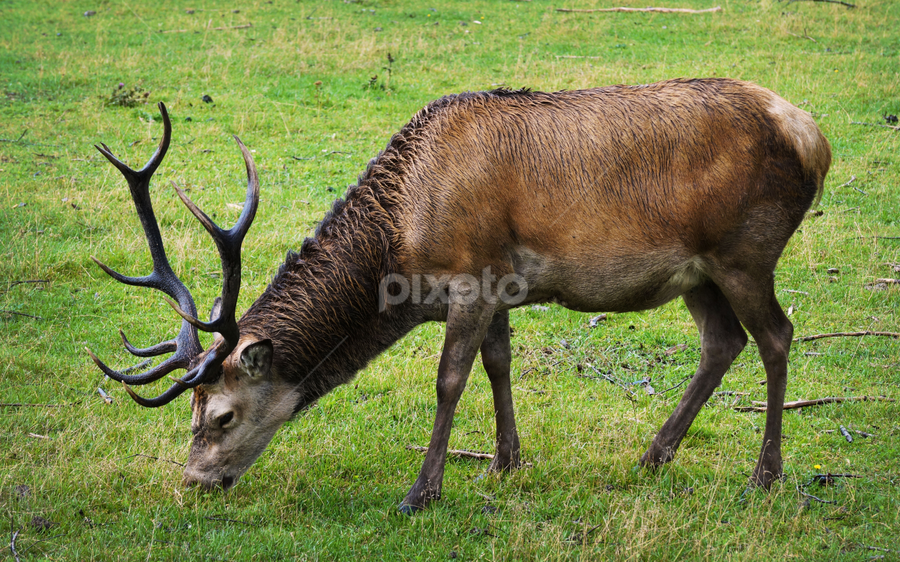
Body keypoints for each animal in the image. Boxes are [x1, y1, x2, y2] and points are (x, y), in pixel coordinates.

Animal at [89, 78, 831, 514]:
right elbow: (498, 365)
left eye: (220, 417)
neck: (405, 240)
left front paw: (422, 492)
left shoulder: (471, 279)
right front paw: (504, 463)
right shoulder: (500, 283)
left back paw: (764, 476)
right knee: (722, 343)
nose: (193, 482)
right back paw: (653, 455)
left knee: (776, 336)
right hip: (699, 273)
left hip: (745, 251)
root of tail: (813, 136)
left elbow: (450, 380)